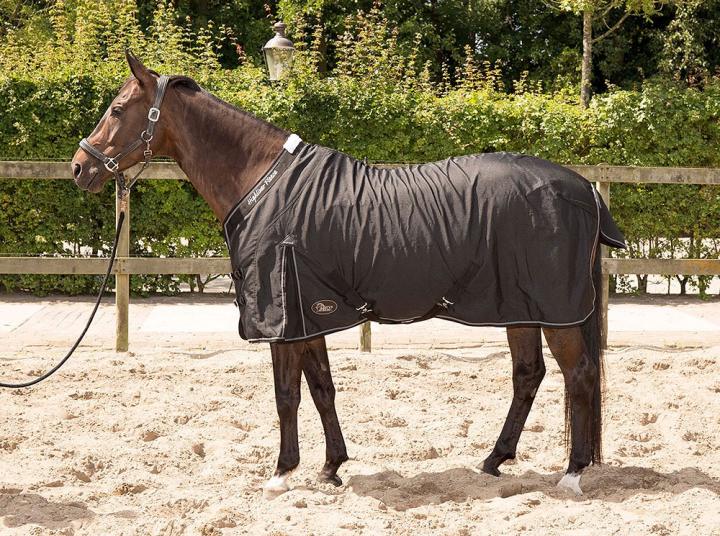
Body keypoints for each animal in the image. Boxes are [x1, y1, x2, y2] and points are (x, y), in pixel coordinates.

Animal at [71, 52, 625, 498]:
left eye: (117, 110)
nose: (80, 167)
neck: (263, 185)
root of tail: (583, 189)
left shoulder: (283, 319)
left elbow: (287, 395)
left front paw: (281, 474)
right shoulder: (308, 315)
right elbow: (321, 389)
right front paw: (331, 467)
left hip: (554, 311)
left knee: (578, 374)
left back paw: (572, 474)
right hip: (519, 307)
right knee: (528, 375)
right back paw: (494, 460)